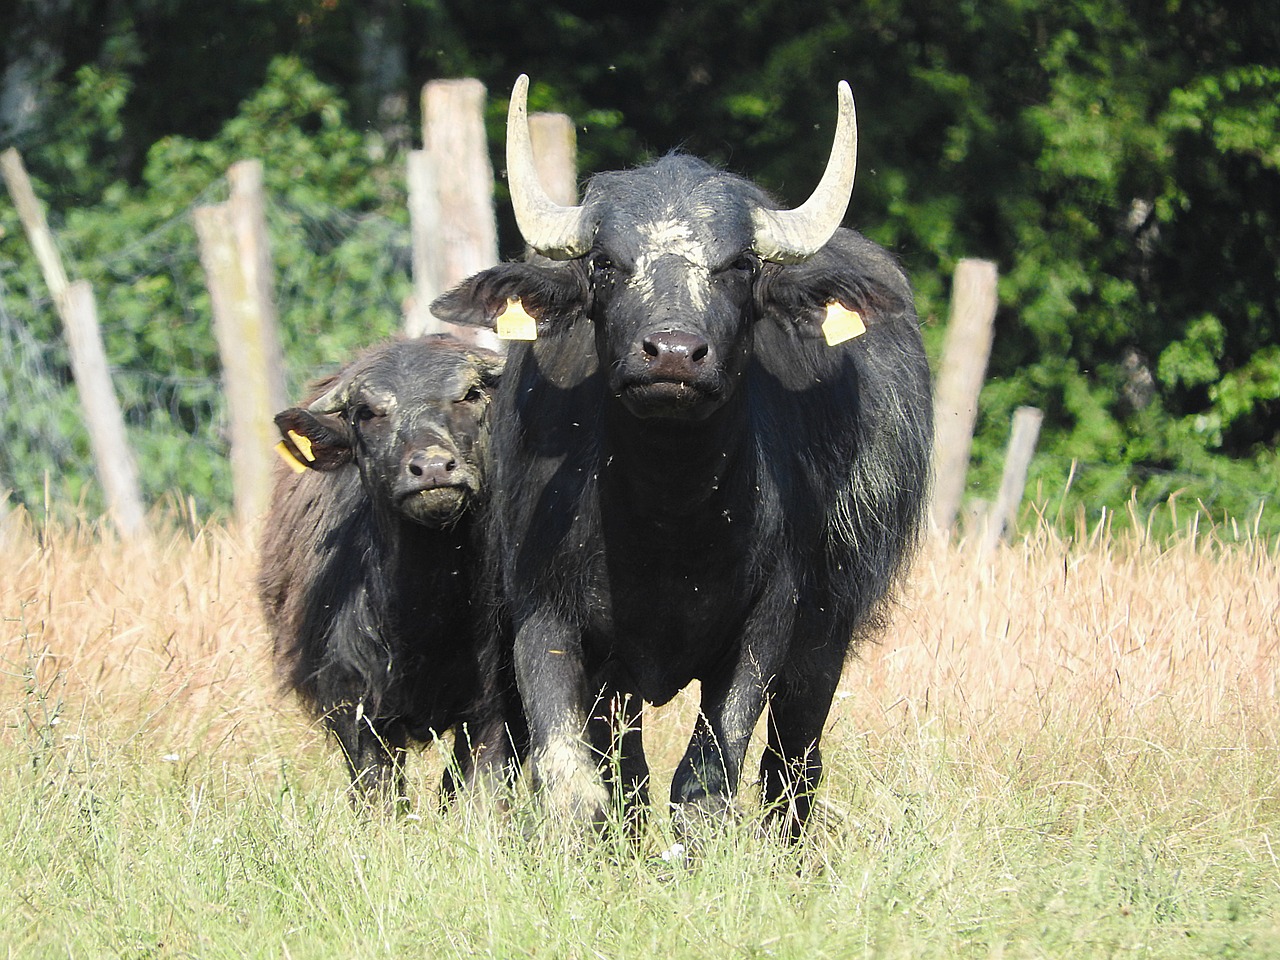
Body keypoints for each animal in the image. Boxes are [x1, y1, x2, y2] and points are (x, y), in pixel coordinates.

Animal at [257, 335, 522, 808]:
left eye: (470, 394)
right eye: (366, 412)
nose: (432, 468)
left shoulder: (497, 706)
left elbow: (480, 787)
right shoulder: (354, 705)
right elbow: (378, 790)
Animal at [430, 77, 931, 839]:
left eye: (741, 266)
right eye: (605, 263)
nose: (671, 353)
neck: (668, 521)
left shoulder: (768, 624)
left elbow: (703, 783)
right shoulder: (544, 618)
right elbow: (576, 783)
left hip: (828, 631)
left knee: (793, 760)